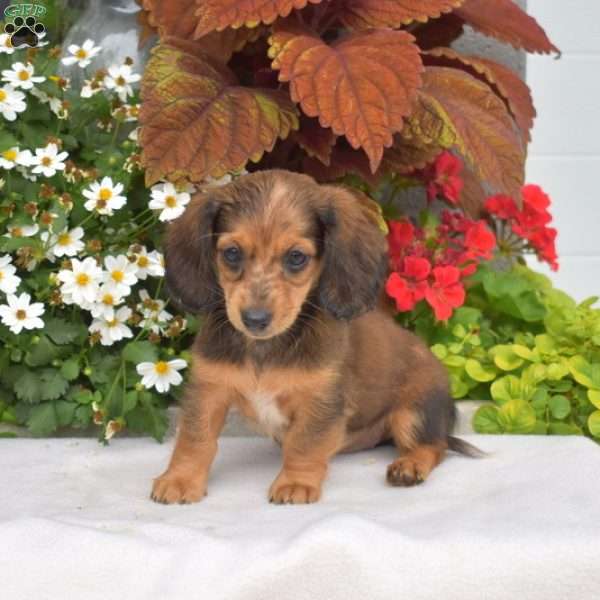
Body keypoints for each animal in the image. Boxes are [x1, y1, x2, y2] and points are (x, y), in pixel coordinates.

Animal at [150, 170, 474, 506]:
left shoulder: (320, 399)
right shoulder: (208, 389)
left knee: (434, 446)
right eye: (231, 253)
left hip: (416, 410)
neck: (264, 349)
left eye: (296, 257)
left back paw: (409, 466)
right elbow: (194, 437)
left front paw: (295, 483)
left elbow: (304, 443)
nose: (254, 320)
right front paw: (180, 479)